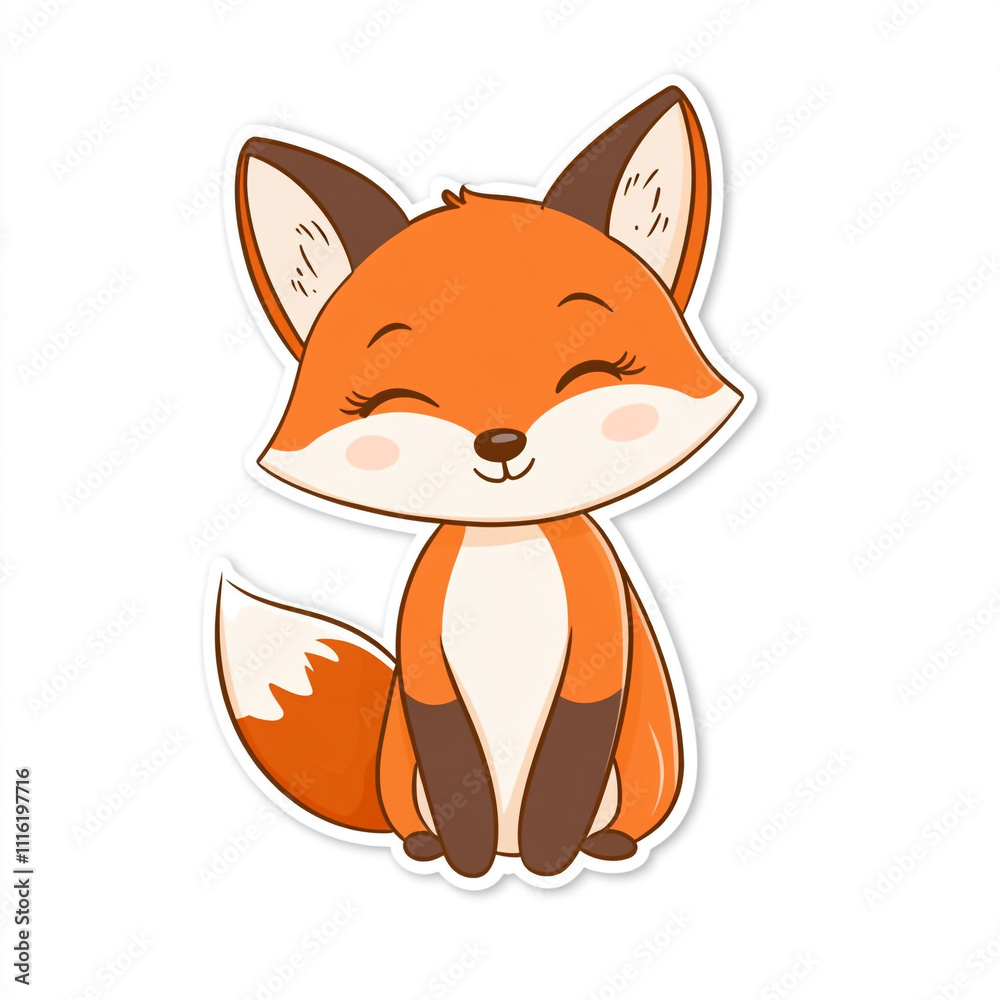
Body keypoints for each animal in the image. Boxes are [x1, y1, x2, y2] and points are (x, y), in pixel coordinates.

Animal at [209, 79, 754, 888]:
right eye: (394, 397)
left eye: (591, 373)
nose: (500, 442)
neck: (508, 551)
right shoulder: (424, 658)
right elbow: (451, 759)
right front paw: (466, 859)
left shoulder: (599, 643)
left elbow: (569, 759)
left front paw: (552, 855)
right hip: (399, 766)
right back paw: (431, 846)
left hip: (645, 768)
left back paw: (598, 845)